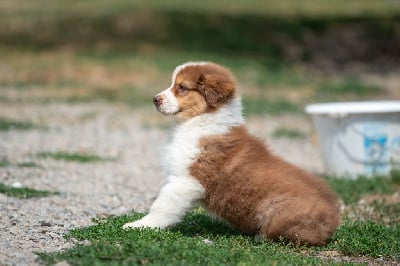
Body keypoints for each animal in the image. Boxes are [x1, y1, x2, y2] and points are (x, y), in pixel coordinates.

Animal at [123, 61, 340, 245]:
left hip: (278, 212)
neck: (201, 120)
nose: (154, 100)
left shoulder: (188, 180)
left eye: (182, 87)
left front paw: (140, 225)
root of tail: (333, 219)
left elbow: (162, 206)